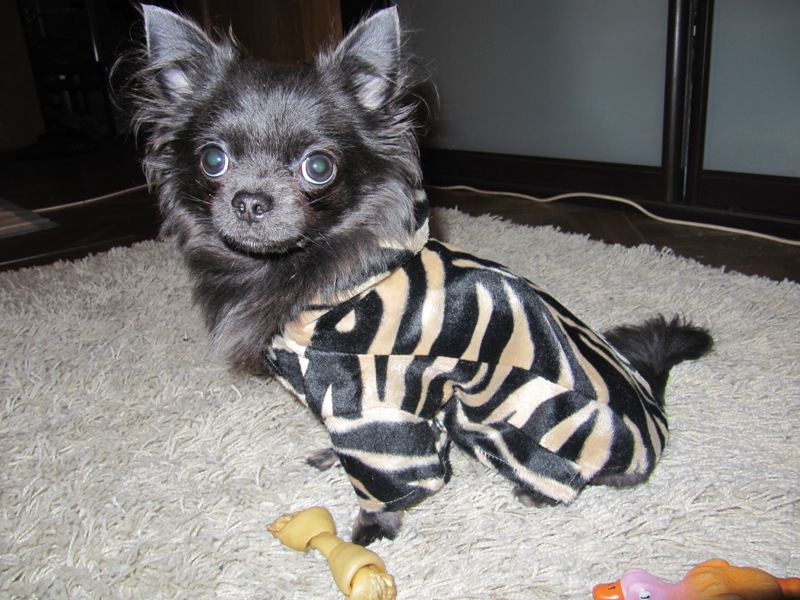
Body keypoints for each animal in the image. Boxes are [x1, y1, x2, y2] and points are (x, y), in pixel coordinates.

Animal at [125, 5, 713, 546]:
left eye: (318, 167)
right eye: (213, 161)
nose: (250, 201)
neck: (322, 277)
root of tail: (654, 408)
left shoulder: (378, 402)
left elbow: (382, 481)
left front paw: (368, 533)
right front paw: (329, 458)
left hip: (508, 417)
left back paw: (536, 492)